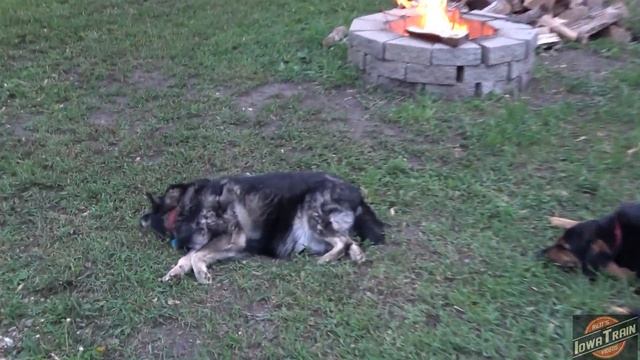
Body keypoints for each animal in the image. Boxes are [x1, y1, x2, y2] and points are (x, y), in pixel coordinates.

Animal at [140, 172, 384, 284]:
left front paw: (201, 274)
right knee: (350, 240)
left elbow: (196, 255)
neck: (186, 208)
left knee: (342, 241)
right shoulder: (230, 246)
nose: (141, 220)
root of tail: (357, 195)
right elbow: (189, 256)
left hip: (314, 214)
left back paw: (324, 260)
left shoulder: (232, 237)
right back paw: (357, 256)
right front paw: (175, 272)